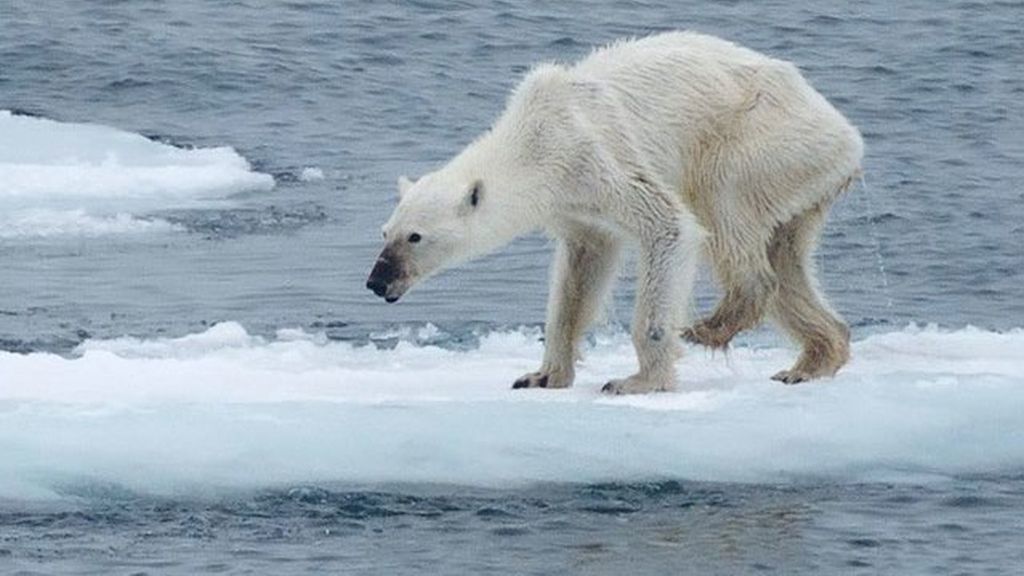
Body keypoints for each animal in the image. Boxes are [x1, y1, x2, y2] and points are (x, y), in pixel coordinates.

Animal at [366, 31, 863, 394]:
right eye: (385, 232)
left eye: (415, 237)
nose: (376, 281)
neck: (535, 138)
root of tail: (847, 136)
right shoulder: (573, 204)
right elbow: (581, 271)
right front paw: (541, 375)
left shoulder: (596, 157)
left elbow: (670, 226)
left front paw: (637, 380)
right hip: (801, 181)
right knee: (787, 259)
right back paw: (812, 359)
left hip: (762, 141)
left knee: (724, 207)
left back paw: (711, 326)